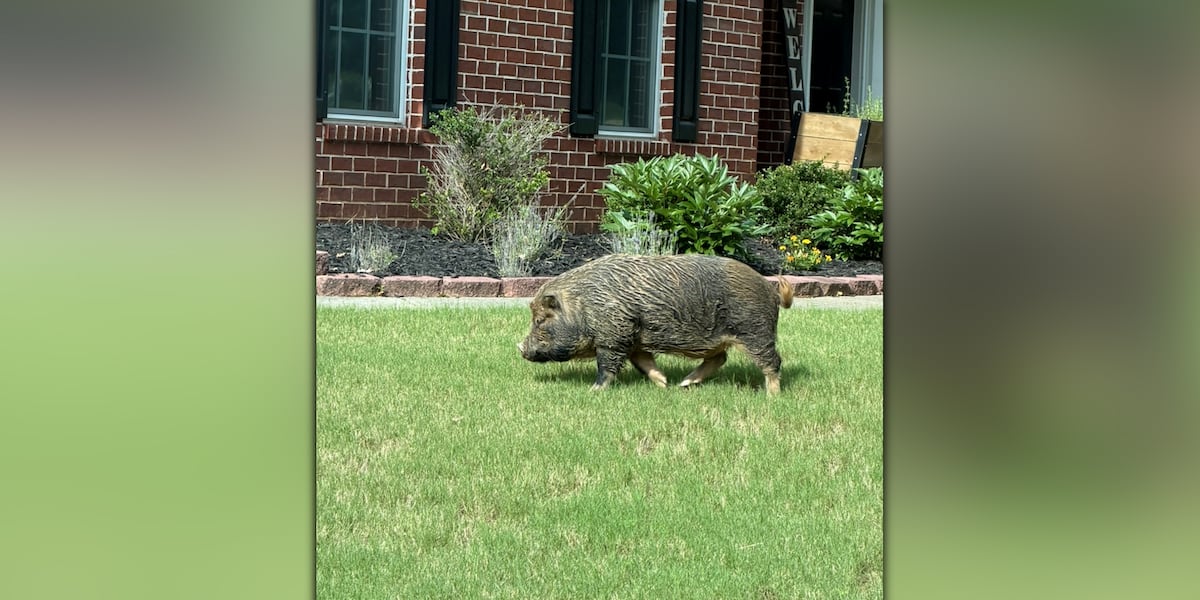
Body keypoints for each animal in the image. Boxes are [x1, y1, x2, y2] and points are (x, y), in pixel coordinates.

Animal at [517, 253, 794, 394]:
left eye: (540, 320)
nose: (520, 348)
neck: (583, 306)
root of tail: (770, 290)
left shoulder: (613, 336)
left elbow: (607, 366)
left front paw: (593, 391)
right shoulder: (634, 341)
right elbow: (644, 363)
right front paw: (663, 384)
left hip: (755, 331)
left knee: (772, 362)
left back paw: (772, 396)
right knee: (719, 358)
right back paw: (684, 384)